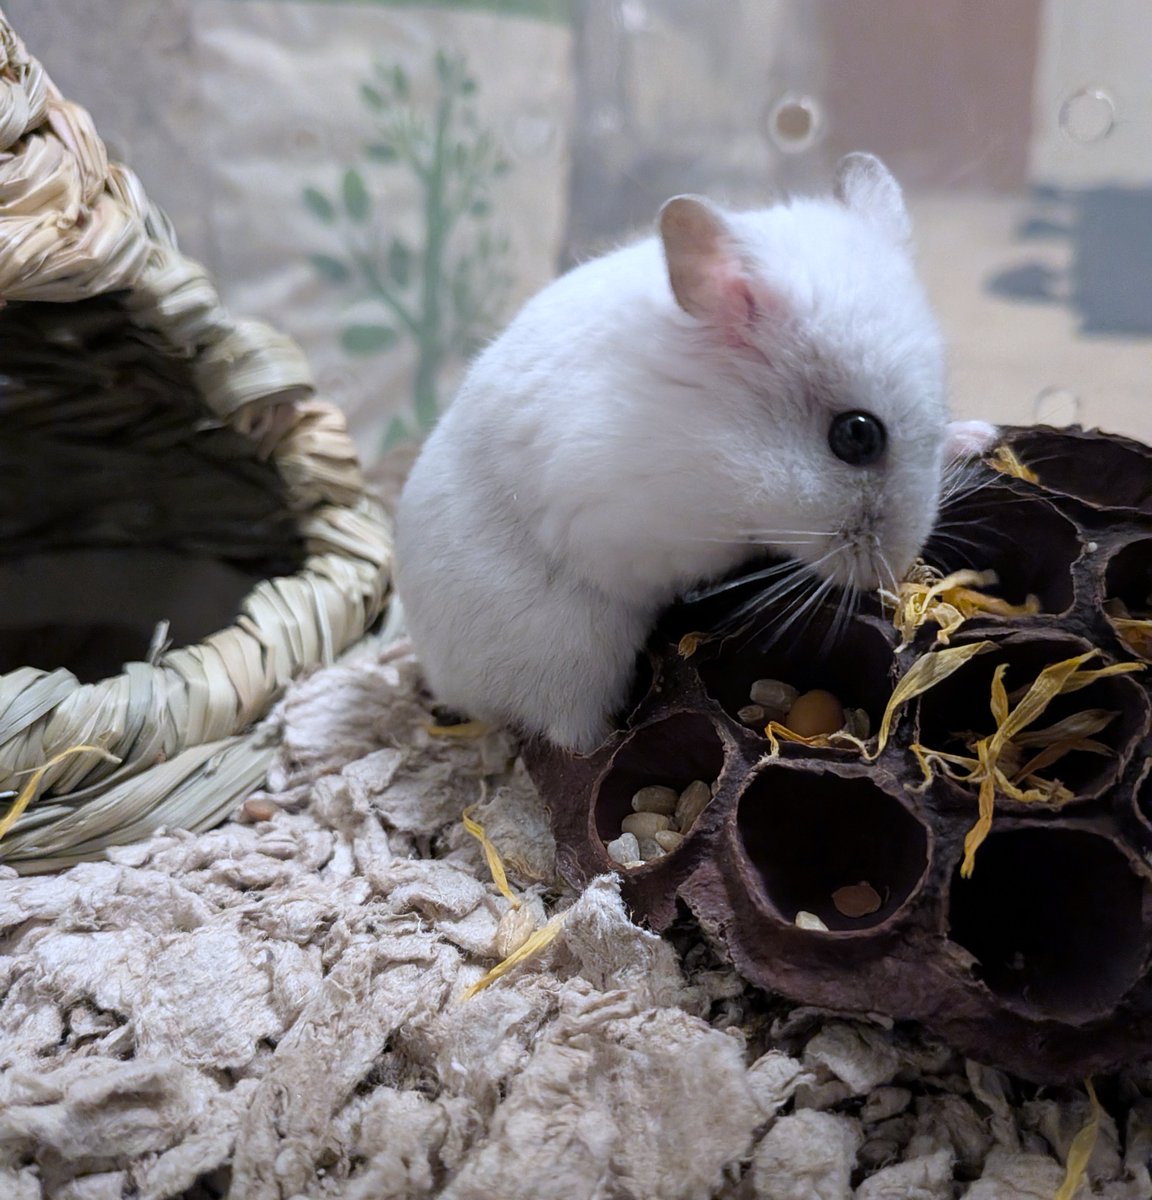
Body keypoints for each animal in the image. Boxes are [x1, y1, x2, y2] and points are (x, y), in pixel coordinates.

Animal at [395, 153, 994, 754]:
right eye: (856, 435)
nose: (889, 577)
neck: (716, 437)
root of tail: (437, 676)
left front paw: (977, 435)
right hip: (568, 662)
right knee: (573, 737)